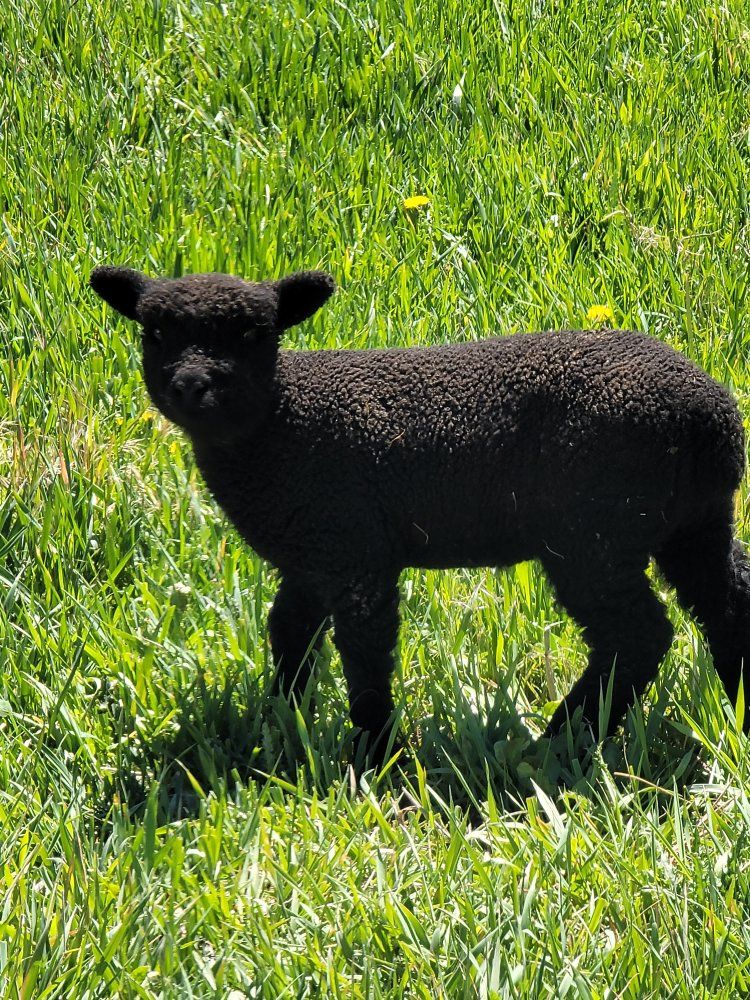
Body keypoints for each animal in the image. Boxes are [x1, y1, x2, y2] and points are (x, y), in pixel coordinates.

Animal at [90, 265, 750, 762]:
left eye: (255, 335)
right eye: (152, 333)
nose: (190, 385)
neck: (281, 422)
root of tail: (713, 417)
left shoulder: (355, 547)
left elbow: (365, 649)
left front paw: (373, 752)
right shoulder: (312, 554)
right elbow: (289, 632)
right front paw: (280, 718)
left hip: (596, 529)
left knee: (638, 634)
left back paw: (559, 741)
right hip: (691, 520)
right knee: (727, 602)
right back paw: (737, 711)